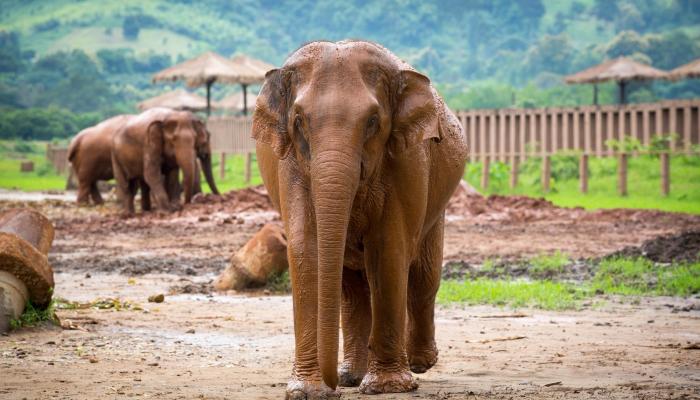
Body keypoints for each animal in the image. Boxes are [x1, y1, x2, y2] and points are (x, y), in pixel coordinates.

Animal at [254, 39, 468, 396]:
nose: (333, 386)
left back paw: (419, 363)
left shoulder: (406, 159)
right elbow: (306, 249)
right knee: (353, 289)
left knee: (423, 277)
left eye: (372, 121)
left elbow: (388, 250)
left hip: (438, 204)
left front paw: (388, 387)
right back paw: (352, 375)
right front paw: (307, 391)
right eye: (299, 120)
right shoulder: (291, 164)